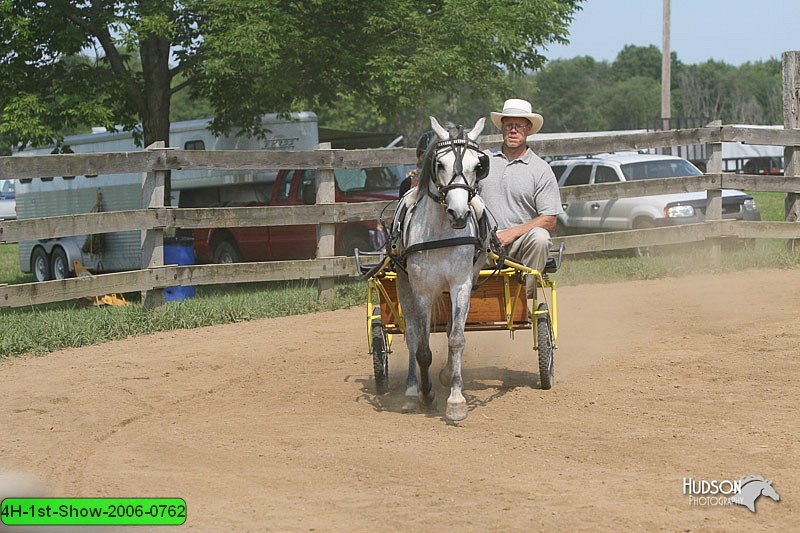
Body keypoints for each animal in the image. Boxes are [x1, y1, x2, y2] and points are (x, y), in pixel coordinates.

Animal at [398, 116, 490, 420]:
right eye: (440, 164)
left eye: (478, 165)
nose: (459, 214)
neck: (440, 232)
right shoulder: (422, 290)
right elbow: (422, 349)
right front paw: (426, 395)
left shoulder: (461, 284)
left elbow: (456, 338)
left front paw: (456, 399)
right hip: (403, 284)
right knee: (412, 335)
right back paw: (411, 392)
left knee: (450, 328)